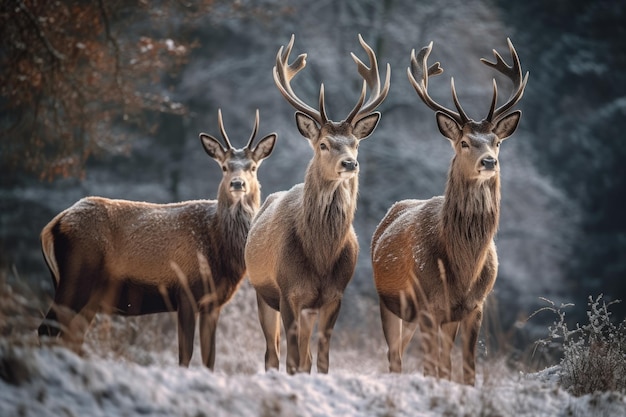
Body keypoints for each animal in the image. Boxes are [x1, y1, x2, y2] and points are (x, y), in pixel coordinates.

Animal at [36, 109, 276, 368]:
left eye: (253, 167)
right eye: (224, 167)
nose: (237, 183)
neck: (218, 246)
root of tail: (51, 227)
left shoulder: (213, 303)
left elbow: (209, 358)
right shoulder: (185, 291)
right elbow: (185, 355)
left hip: (86, 294)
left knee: (71, 337)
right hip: (75, 276)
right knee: (46, 329)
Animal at [243, 35, 386, 374]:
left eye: (355, 143)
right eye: (323, 144)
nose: (350, 163)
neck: (320, 255)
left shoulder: (334, 296)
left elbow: (320, 359)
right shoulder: (288, 292)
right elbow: (292, 359)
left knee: (303, 355)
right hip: (261, 292)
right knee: (272, 354)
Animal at [370, 39, 528, 384]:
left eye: (496, 142)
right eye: (465, 142)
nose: (489, 161)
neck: (463, 270)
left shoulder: (473, 307)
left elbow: (465, 369)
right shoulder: (429, 305)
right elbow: (433, 369)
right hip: (390, 303)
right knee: (395, 356)